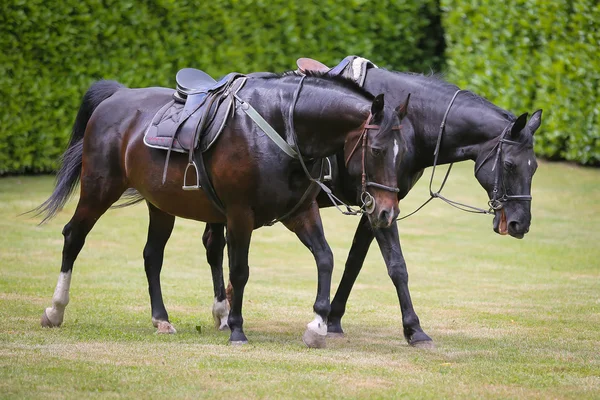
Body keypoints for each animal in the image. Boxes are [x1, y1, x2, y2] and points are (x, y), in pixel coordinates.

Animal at [36, 72, 408, 346]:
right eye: (376, 150)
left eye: (400, 152)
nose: (387, 213)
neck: (281, 126)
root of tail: (117, 96)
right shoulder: (240, 214)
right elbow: (239, 270)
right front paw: (237, 329)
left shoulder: (301, 212)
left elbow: (325, 258)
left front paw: (317, 326)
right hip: (99, 189)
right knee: (74, 236)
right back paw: (55, 310)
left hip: (161, 205)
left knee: (152, 256)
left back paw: (161, 319)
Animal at [199, 61, 540, 346]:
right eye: (510, 164)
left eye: (534, 166)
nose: (520, 222)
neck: (413, 123)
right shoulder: (378, 206)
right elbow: (396, 266)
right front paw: (413, 328)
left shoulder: (377, 207)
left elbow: (355, 262)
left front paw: (332, 319)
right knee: (215, 247)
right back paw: (225, 312)